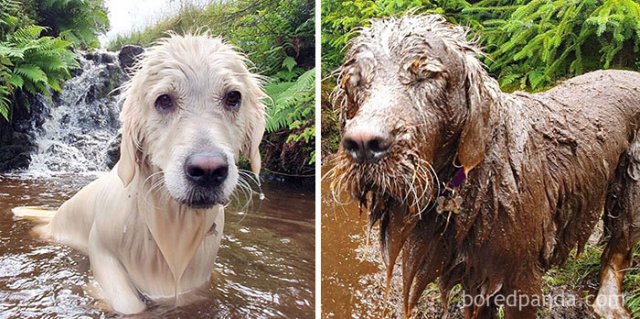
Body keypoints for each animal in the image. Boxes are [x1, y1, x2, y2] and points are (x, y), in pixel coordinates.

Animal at [330, 13, 640, 318]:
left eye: (427, 75)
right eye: (354, 83)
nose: (363, 144)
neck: (477, 178)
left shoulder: (521, 278)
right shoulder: (477, 275)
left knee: (619, 245)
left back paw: (609, 304)